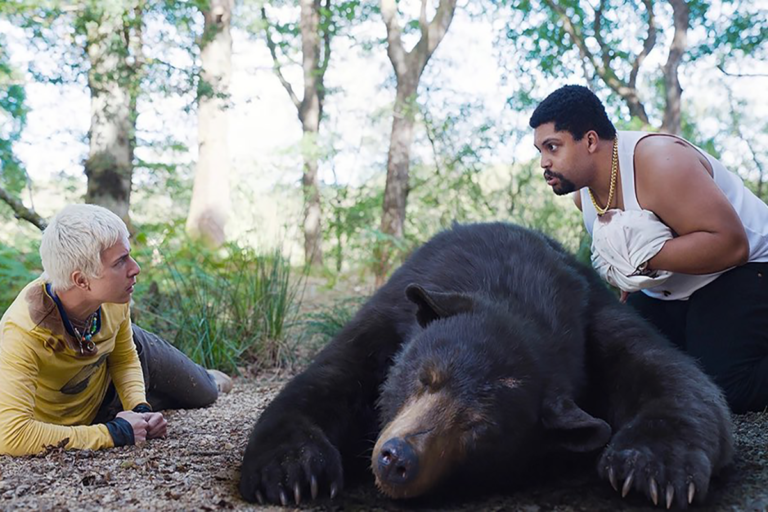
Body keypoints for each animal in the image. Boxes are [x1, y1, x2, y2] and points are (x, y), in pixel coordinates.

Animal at [239, 222, 734, 509]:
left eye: (479, 427)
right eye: (424, 378)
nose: (397, 459)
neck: (516, 284)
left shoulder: (595, 314)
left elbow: (674, 377)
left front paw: (654, 467)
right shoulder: (393, 310)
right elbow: (330, 377)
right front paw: (293, 470)